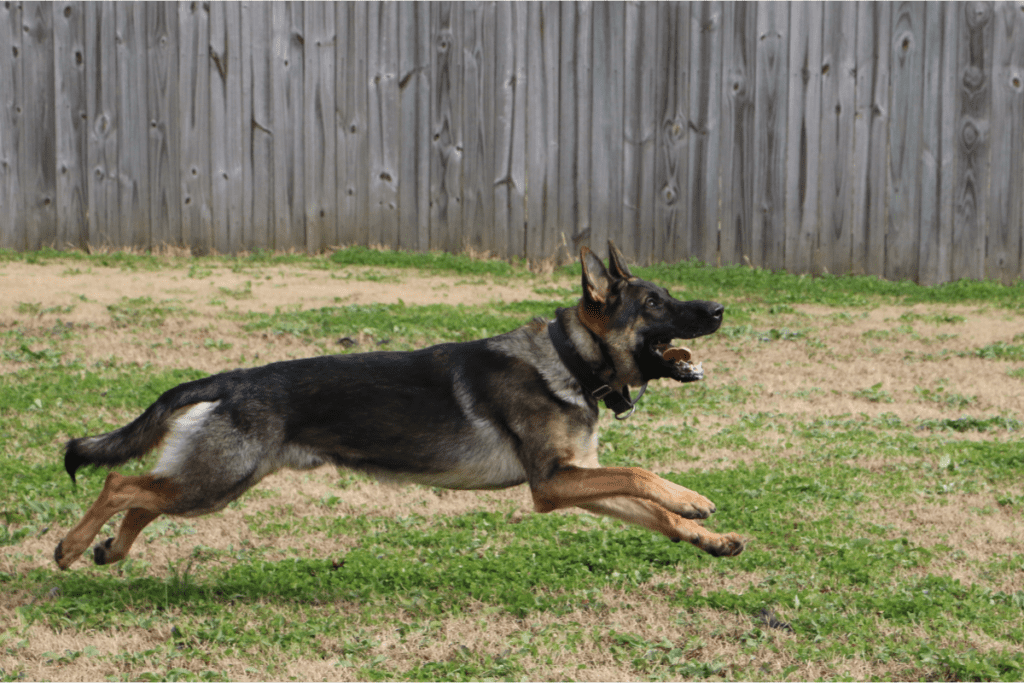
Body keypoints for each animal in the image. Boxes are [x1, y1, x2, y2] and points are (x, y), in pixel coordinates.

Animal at [54, 242, 745, 569]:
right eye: (654, 303)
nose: (718, 309)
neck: (568, 358)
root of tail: (233, 379)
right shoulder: (553, 485)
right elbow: (643, 475)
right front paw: (692, 498)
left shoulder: (577, 481)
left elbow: (651, 513)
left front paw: (707, 537)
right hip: (217, 482)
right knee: (120, 484)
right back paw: (70, 546)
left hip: (212, 484)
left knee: (143, 497)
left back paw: (111, 550)